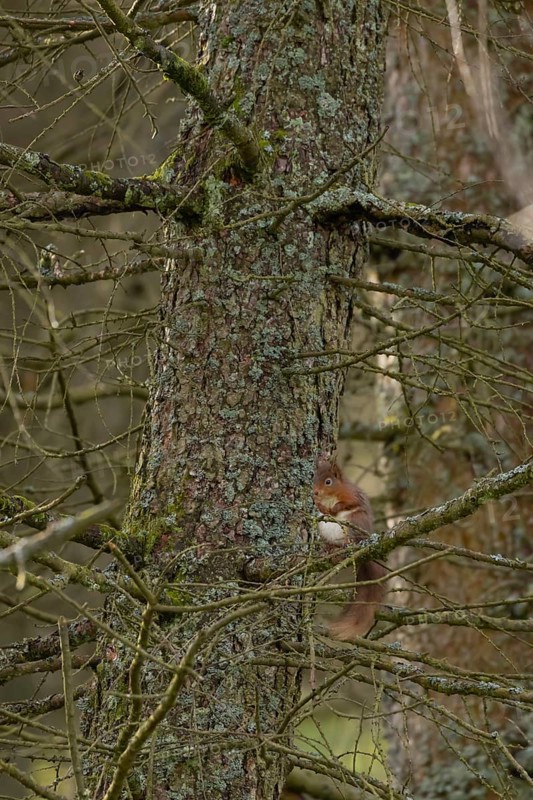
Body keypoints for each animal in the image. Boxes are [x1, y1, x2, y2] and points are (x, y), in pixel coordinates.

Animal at [313, 459, 387, 641]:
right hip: (324, 531)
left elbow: (347, 504)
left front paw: (334, 508)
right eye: (314, 478)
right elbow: (320, 509)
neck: (329, 497)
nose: (315, 492)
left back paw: (348, 544)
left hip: (354, 523)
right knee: (331, 544)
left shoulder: (352, 496)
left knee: (352, 538)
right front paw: (320, 506)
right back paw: (328, 549)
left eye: (328, 481)